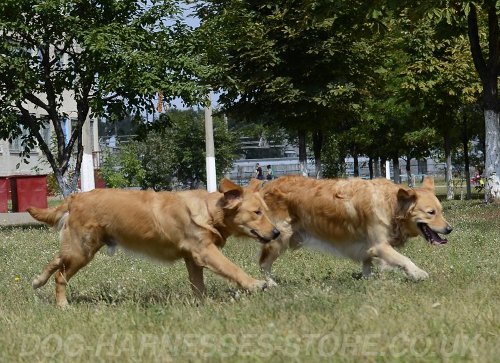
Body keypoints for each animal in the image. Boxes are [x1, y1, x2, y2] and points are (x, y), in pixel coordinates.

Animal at [27, 179, 280, 308]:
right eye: (257, 213)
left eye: (266, 211)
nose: (277, 232)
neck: (208, 211)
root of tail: (75, 197)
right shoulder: (204, 251)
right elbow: (233, 268)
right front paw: (255, 284)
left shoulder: (192, 258)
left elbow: (198, 285)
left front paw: (202, 304)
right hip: (82, 250)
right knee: (61, 275)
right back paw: (62, 305)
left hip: (80, 248)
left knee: (56, 260)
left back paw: (38, 280)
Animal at [256, 176, 452, 284]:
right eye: (431, 213)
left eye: (441, 211)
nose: (450, 229)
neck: (392, 204)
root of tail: (265, 188)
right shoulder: (380, 245)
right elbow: (405, 259)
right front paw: (417, 273)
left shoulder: (367, 248)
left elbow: (367, 265)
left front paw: (369, 281)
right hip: (278, 237)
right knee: (263, 264)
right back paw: (271, 284)